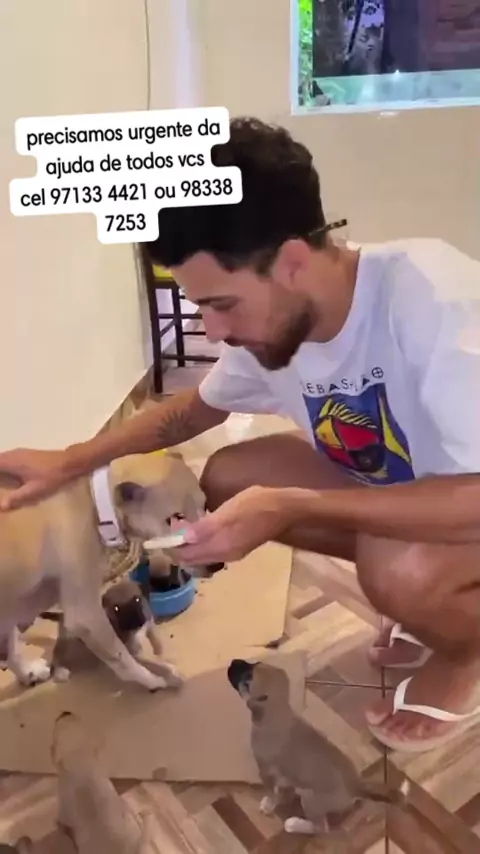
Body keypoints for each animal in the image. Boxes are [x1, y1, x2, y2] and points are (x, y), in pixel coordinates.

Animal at [0, 449, 212, 692]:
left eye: (205, 505)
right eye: (175, 518)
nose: (216, 565)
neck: (94, 502)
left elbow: (12, 645)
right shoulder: (85, 615)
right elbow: (124, 659)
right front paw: (154, 678)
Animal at [52, 711, 156, 853]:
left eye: (57, 729)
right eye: (77, 720)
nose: (65, 712)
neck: (80, 762)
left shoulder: (64, 804)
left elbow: (63, 818)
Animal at [227, 659, 410, 835]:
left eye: (248, 678)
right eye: (254, 663)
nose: (233, 662)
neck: (278, 711)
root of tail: (356, 787)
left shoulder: (265, 769)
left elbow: (272, 791)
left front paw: (269, 804)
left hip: (310, 800)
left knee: (321, 828)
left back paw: (294, 825)